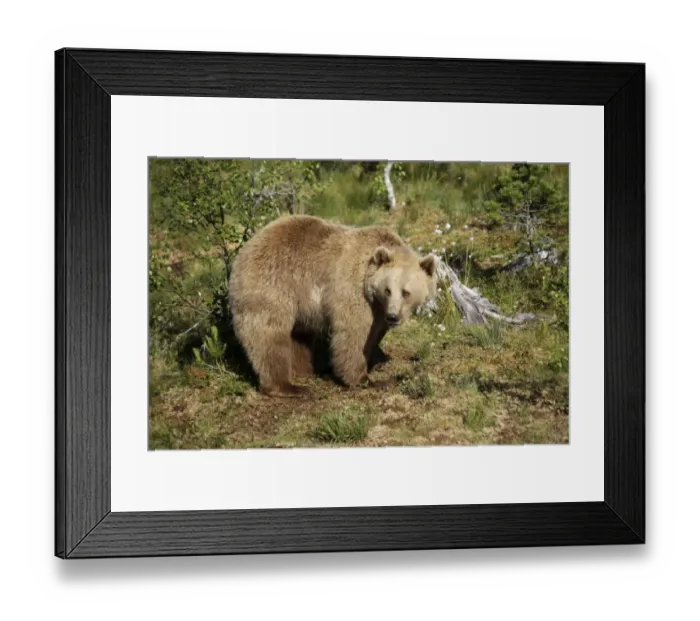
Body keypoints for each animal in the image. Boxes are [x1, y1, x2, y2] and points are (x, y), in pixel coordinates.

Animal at [228, 214, 438, 397]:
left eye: (406, 292)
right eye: (387, 290)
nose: (393, 317)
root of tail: (246, 248)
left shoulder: (378, 310)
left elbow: (373, 334)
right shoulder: (353, 291)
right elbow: (353, 333)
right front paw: (366, 379)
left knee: (299, 335)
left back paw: (306, 369)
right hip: (272, 283)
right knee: (269, 334)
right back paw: (288, 386)